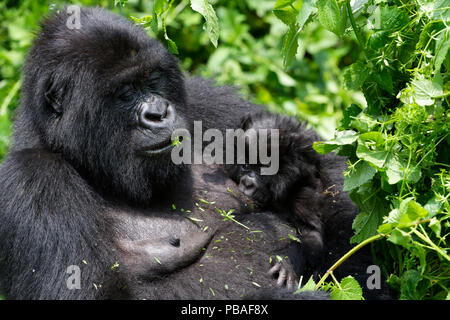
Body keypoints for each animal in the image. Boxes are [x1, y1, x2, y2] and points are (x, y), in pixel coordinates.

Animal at [229, 113, 326, 278]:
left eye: (265, 168)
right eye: (245, 166)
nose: (247, 183)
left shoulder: (303, 195)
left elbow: (311, 237)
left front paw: (285, 262)